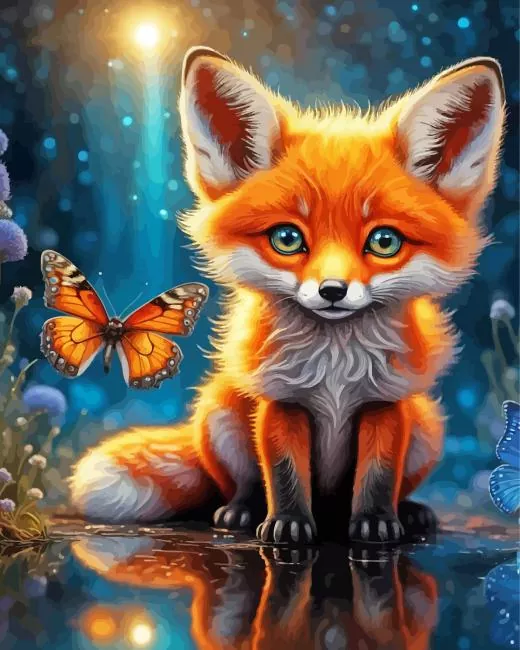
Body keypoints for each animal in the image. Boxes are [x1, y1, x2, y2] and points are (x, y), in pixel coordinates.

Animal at [69, 46, 505, 545]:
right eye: (287, 239)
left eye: (384, 242)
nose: (332, 290)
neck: (336, 366)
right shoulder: (281, 400)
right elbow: (283, 473)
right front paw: (288, 524)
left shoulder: (384, 403)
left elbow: (378, 475)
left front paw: (376, 522)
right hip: (218, 412)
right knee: (239, 484)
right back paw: (241, 511)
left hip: (428, 427)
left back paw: (409, 511)